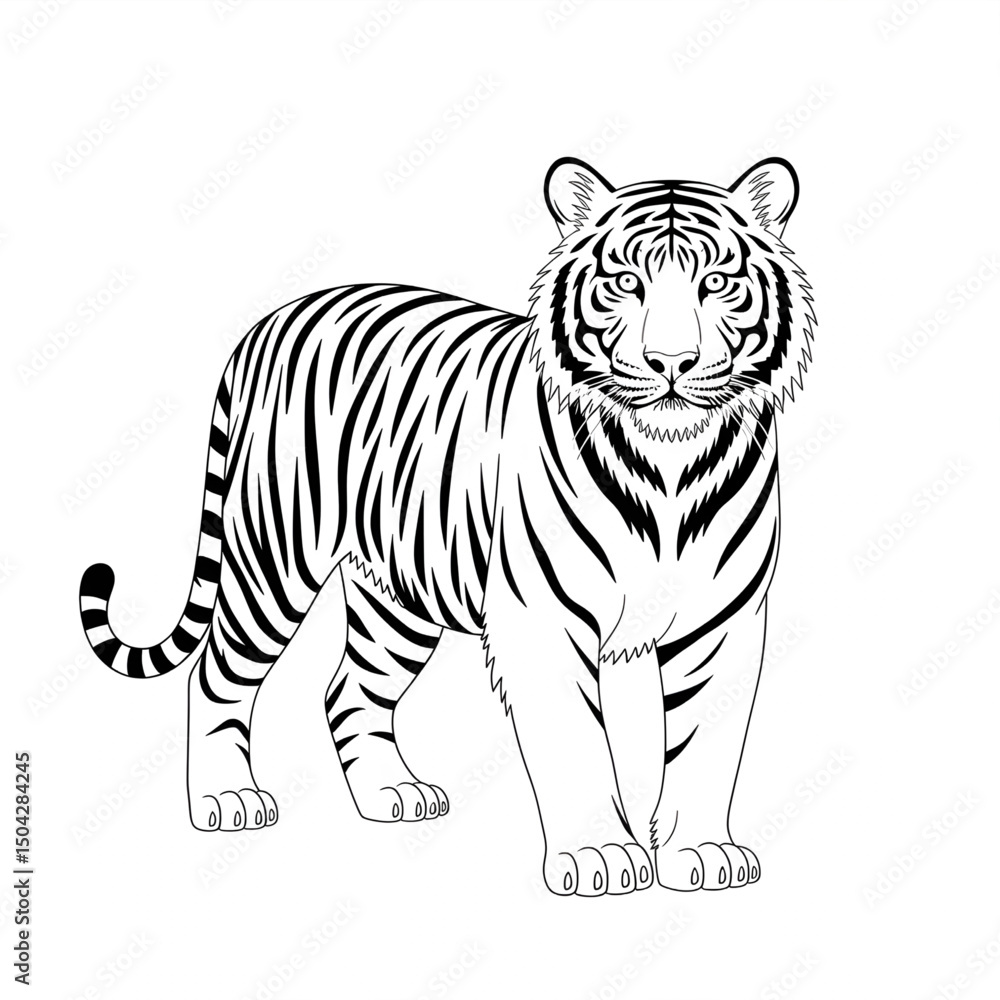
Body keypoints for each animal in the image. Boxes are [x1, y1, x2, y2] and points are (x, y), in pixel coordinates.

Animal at [79, 155, 814, 896]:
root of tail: (271, 321)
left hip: (396, 597)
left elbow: (708, 746)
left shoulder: (724, 624)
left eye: (716, 283)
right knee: (215, 676)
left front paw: (703, 852)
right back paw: (226, 799)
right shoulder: (543, 621)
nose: (671, 363)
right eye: (625, 283)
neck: (669, 460)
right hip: (274, 561)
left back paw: (391, 794)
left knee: (348, 692)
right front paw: (598, 856)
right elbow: (574, 741)